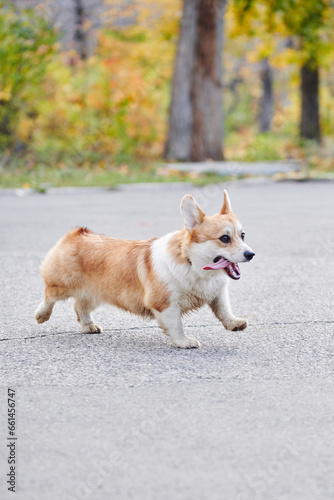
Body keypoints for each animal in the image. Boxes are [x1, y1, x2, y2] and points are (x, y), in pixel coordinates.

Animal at [35, 191, 254, 348]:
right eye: (224, 238)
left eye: (242, 235)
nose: (251, 254)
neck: (193, 264)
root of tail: (78, 233)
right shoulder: (165, 303)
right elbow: (176, 325)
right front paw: (184, 342)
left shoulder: (217, 293)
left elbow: (224, 310)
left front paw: (235, 323)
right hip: (63, 284)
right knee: (49, 295)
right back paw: (41, 315)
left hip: (97, 293)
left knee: (80, 307)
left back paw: (89, 325)